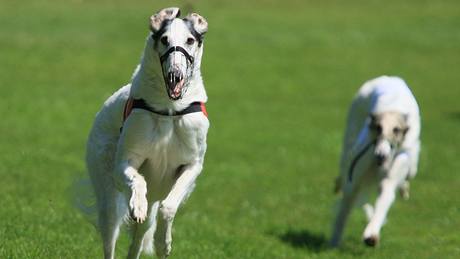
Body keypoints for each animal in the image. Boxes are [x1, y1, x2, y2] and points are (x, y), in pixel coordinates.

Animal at [85, 7, 210, 258]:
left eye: (190, 40)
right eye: (164, 39)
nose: (175, 75)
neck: (170, 110)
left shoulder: (192, 165)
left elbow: (168, 207)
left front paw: (164, 242)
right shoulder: (123, 163)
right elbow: (137, 180)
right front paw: (138, 205)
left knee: (139, 238)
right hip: (107, 195)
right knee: (111, 236)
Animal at [330, 76, 420, 249]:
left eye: (396, 130)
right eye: (378, 128)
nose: (381, 156)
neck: (393, 107)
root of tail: (389, 78)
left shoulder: (393, 171)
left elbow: (385, 195)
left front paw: (371, 234)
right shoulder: (359, 168)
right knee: (348, 200)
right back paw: (334, 240)